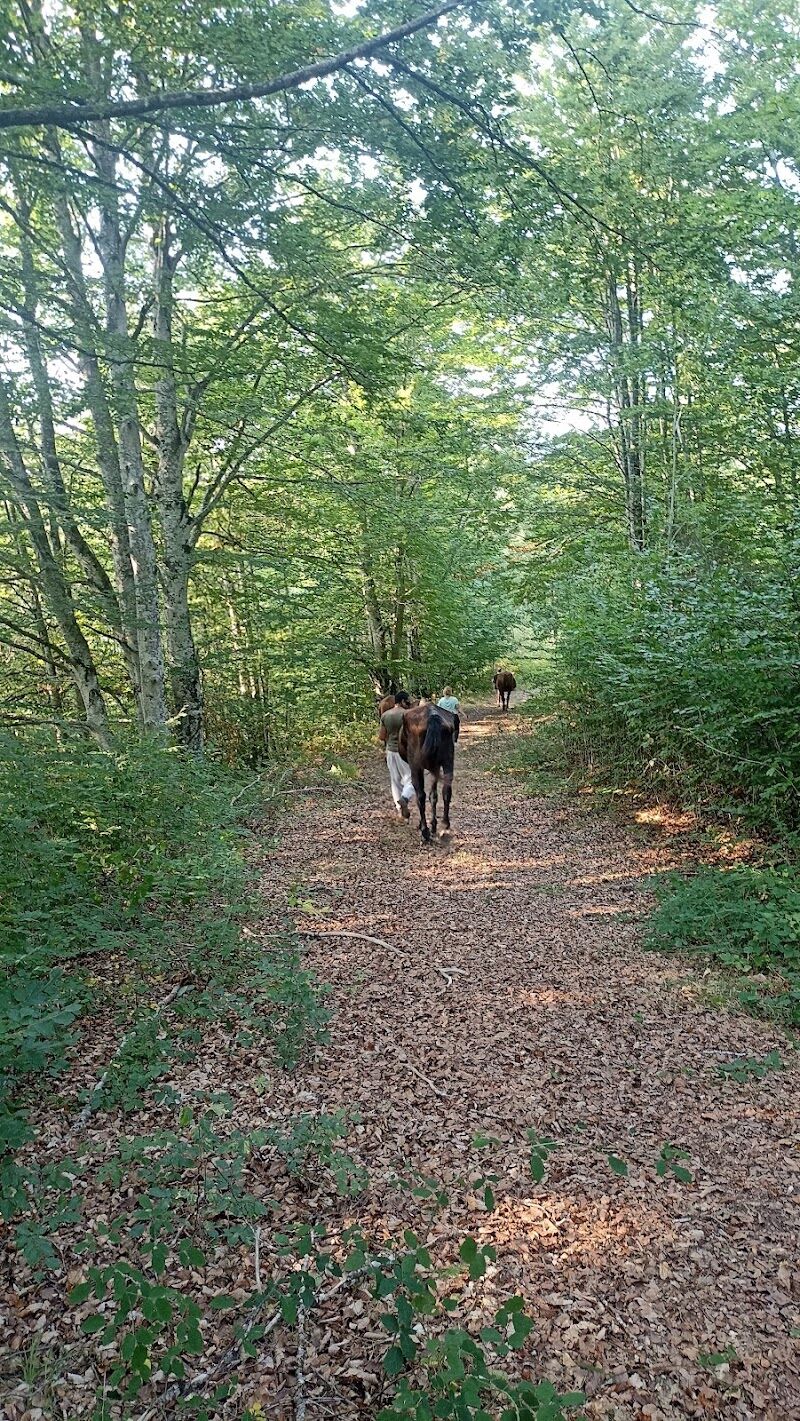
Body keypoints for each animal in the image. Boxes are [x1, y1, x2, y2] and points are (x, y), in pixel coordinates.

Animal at [399, 703, 459, 843]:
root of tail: (433, 716)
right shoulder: (435, 768)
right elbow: (434, 796)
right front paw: (434, 826)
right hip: (448, 762)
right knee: (446, 791)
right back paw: (444, 826)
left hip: (416, 766)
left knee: (420, 796)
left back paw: (424, 831)